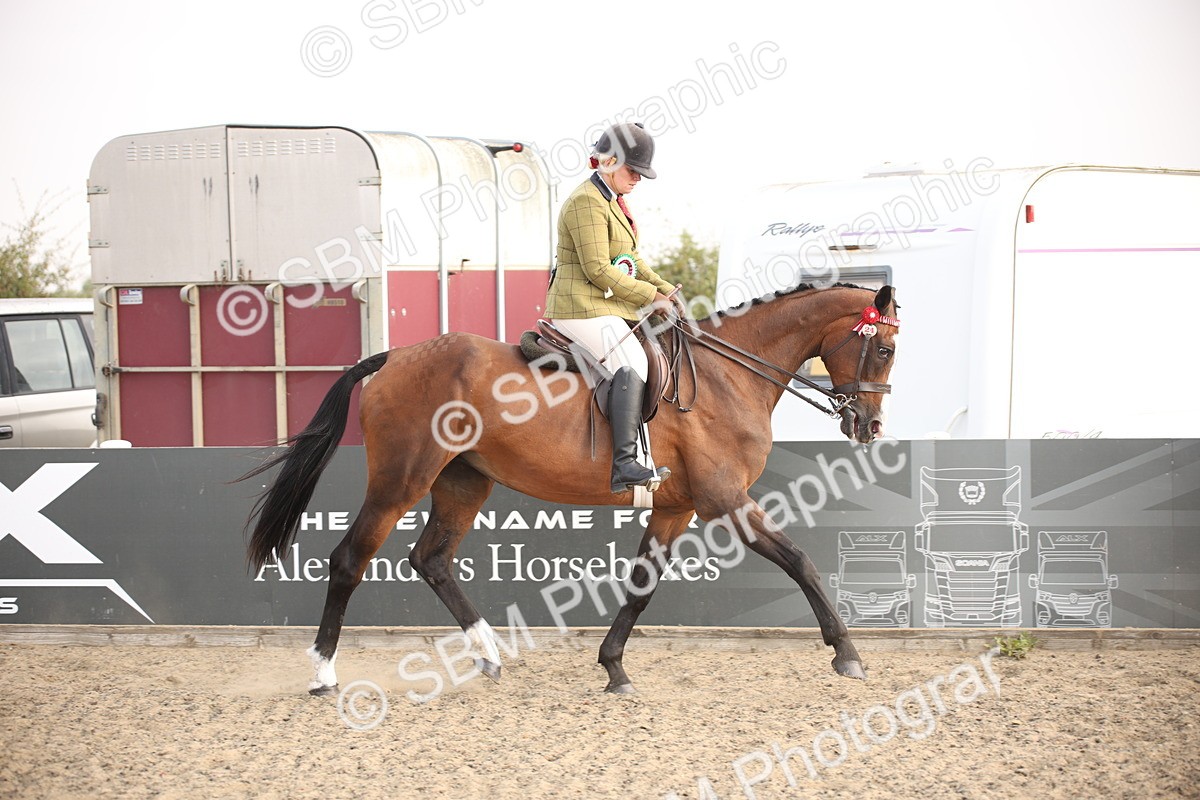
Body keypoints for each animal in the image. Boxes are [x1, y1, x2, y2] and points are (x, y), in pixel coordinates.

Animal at [241, 282, 901, 696]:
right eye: (886, 348)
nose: (868, 427)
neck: (725, 376)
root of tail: (395, 356)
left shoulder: (677, 507)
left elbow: (641, 587)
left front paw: (614, 668)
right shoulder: (725, 502)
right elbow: (801, 561)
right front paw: (847, 654)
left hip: (462, 481)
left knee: (431, 559)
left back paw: (488, 654)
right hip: (401, 479)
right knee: (349, 560)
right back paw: (324, 675)